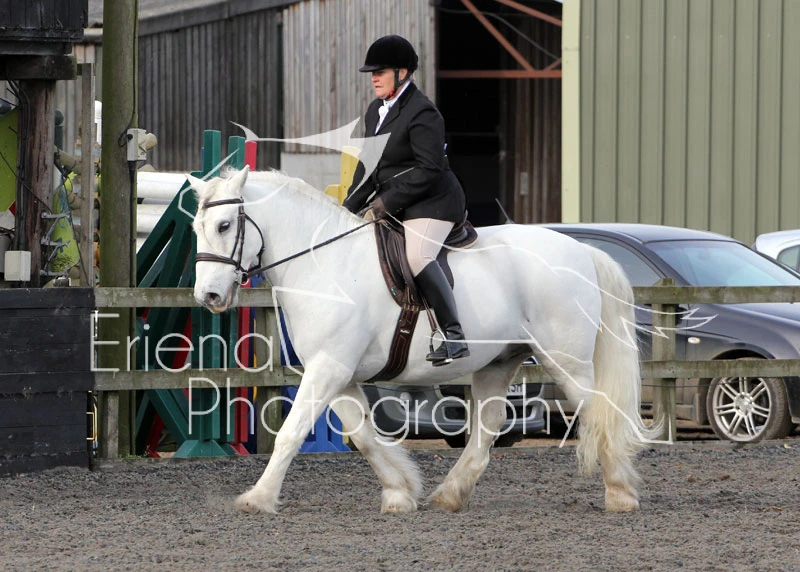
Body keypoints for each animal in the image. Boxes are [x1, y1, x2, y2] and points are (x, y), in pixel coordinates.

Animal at [190, 166, 663, 514]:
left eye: (225, 225)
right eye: (196, 228)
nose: (207, 296)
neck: (323, 264)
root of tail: (581, 250)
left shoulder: (329, 369)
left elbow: (290, 433)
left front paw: (258, 498)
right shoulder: (338, 374)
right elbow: (364, 436)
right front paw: (400, 491)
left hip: (566, 360)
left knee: (598, 411)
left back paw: (621, 493)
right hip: (499, 363)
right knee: (487, 428)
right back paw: (450, 494)